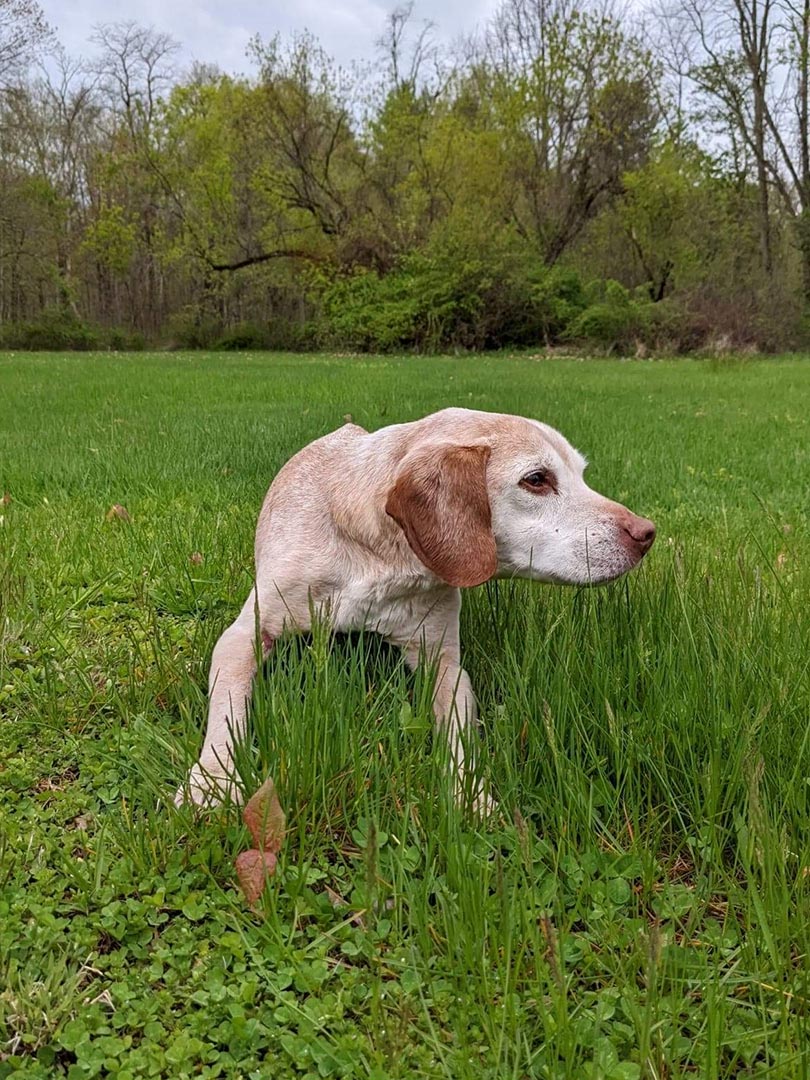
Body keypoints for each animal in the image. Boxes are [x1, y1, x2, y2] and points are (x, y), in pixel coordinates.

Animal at [174, 406, 656, 812]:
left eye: (581, 475)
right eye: (536, 479)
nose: (646, 533)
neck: (379, 557)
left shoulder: (444, 664)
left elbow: (458, 734)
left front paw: (468, 795)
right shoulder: (243, 637)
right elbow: (227, 711)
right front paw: (212, 782)